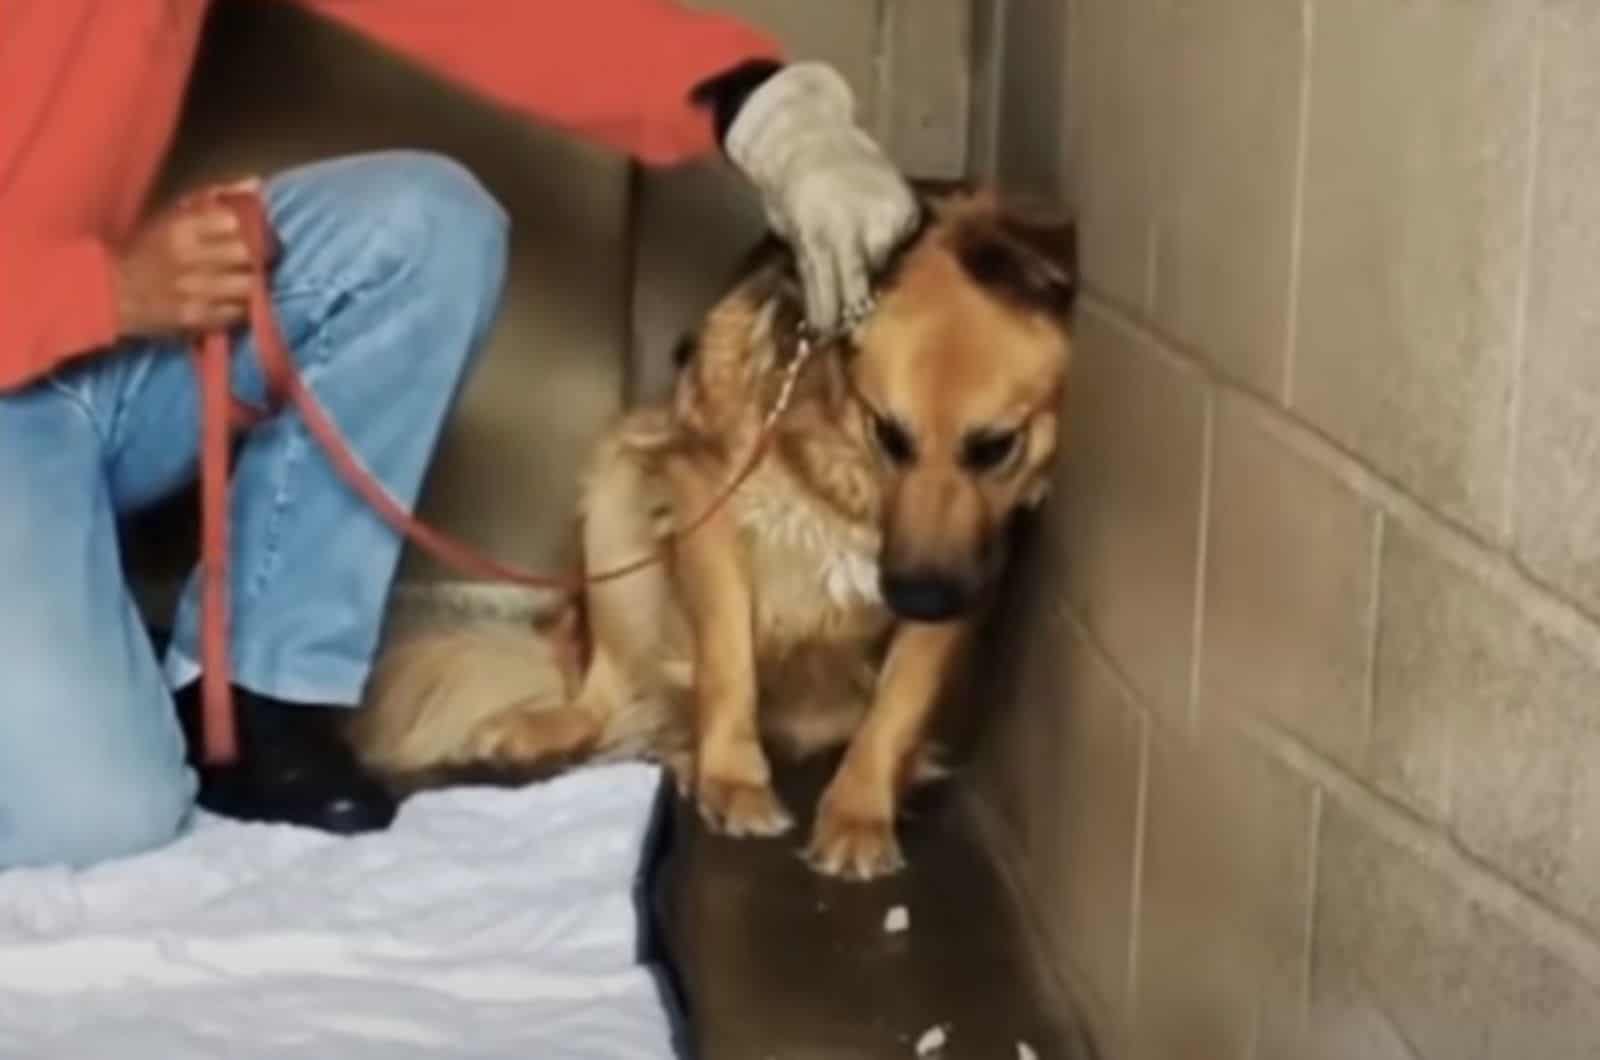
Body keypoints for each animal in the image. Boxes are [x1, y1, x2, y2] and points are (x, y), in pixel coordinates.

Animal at [348, 186, 1075, 883]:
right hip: (619, 484)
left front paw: (860, 812)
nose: (920, 599)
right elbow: (729, 664)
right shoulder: (706, 494)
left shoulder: (972, 565)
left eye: (997, 447)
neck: (840, 460)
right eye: (889, 434)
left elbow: (900, 705)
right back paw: (574, 726)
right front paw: (733, 779)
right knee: (608, 691)